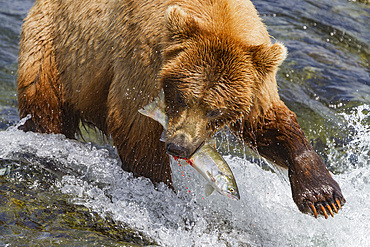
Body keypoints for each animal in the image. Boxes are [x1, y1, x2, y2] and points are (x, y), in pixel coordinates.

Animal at [18, 0, 346, 218]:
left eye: (217, 111)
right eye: (181, 97)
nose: (178, 146)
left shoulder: (255, 81)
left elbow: (269, 123)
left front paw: (322, 196)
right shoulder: (145, 62)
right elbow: (135, 127)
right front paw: (161, 190)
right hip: (54, 50)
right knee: (46, 109)